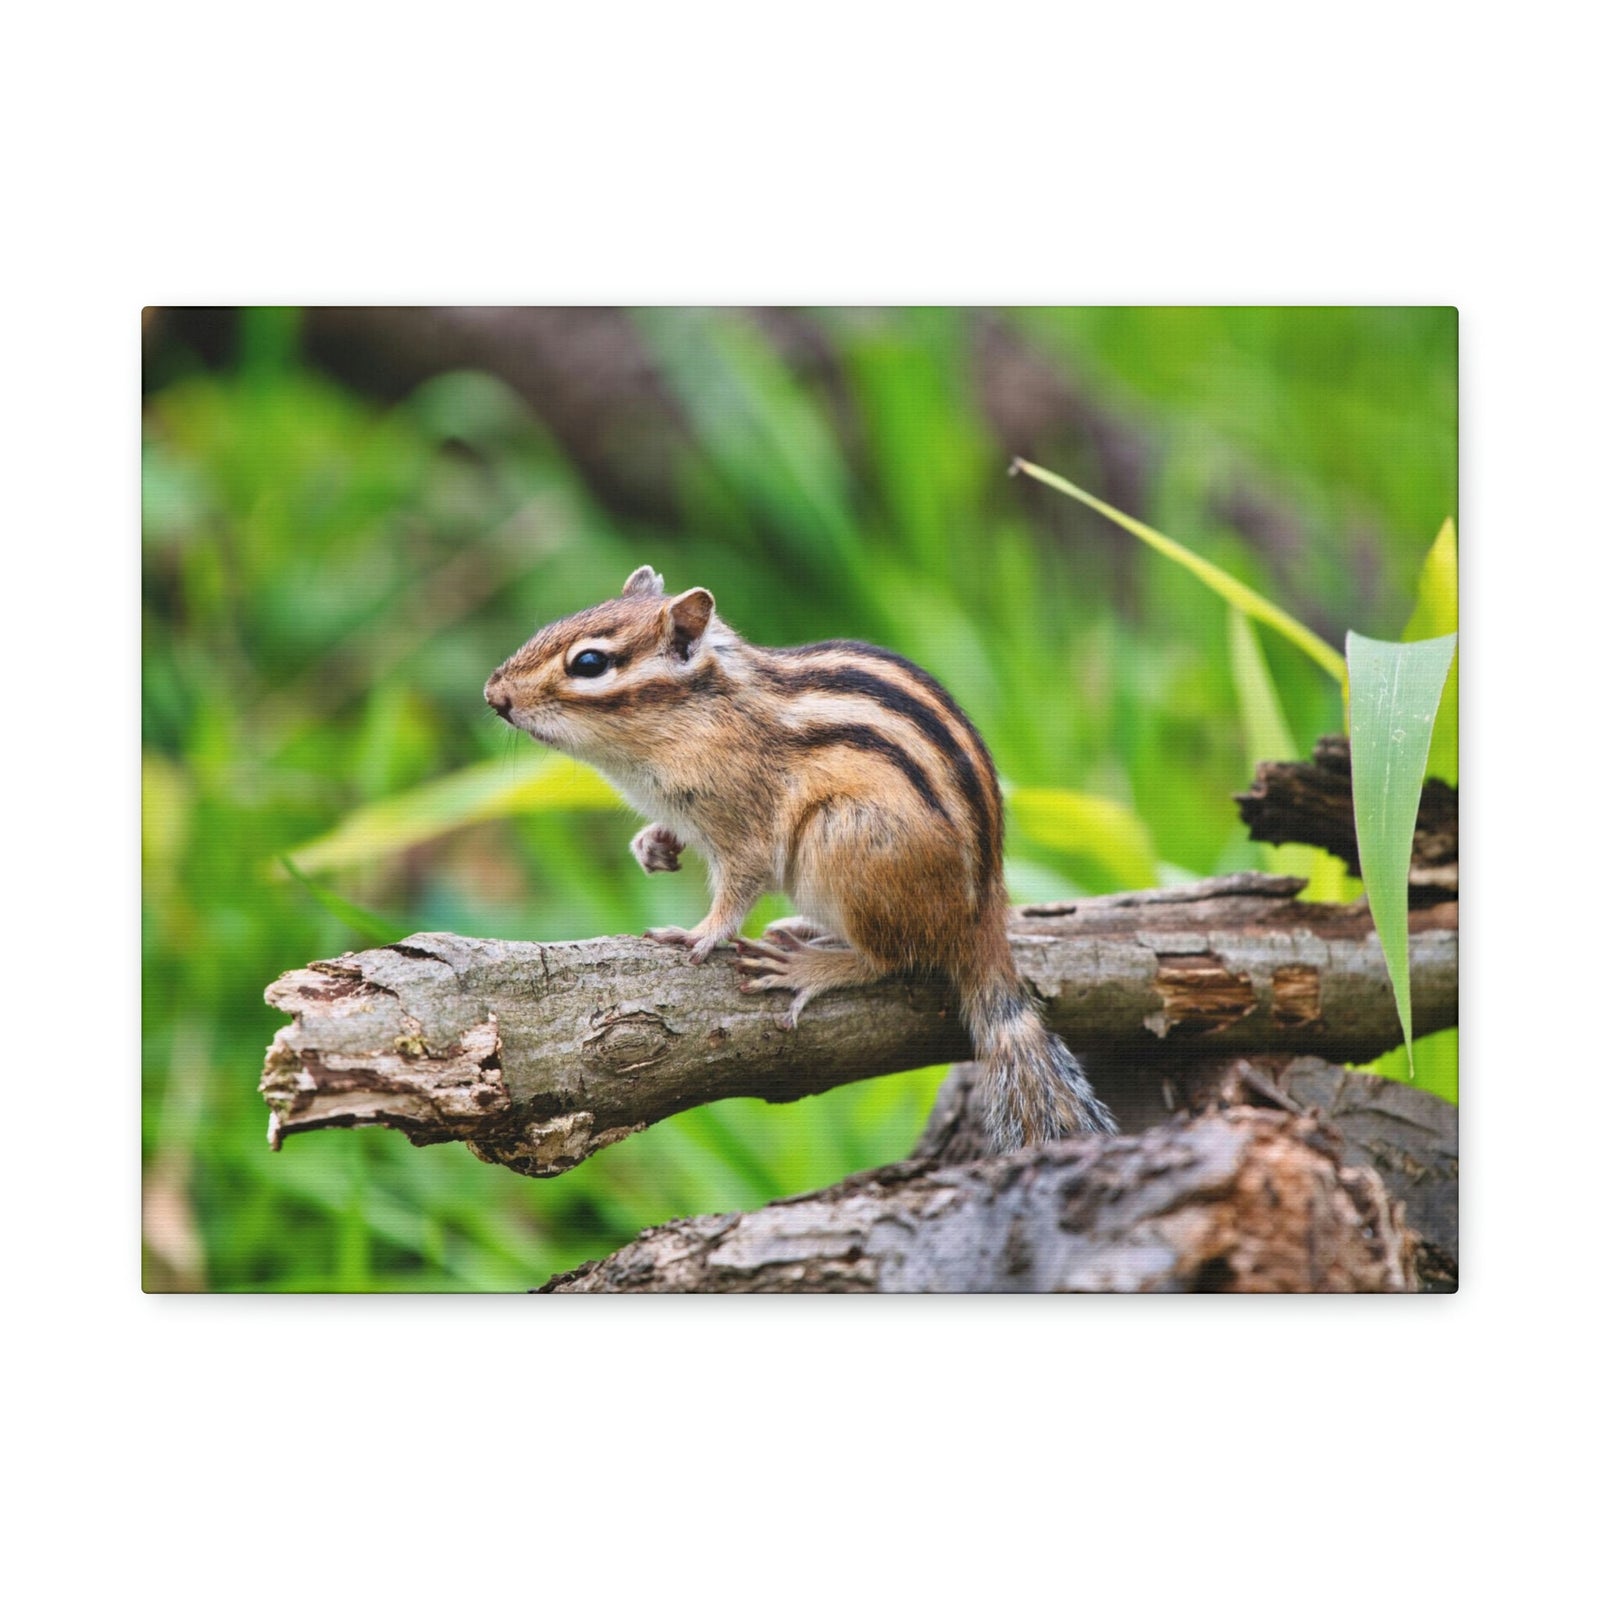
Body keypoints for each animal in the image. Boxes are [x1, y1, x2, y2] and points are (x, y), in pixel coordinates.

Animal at [484, 566, 1116, 1150]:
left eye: (589, 663)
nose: (494, 695)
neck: (698, 716)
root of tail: (982, 917)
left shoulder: (746, 824)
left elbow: (740, 886)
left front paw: (702, 933)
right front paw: (653, 845)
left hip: (842, 840)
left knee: (893, 959)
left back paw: (809, 966)